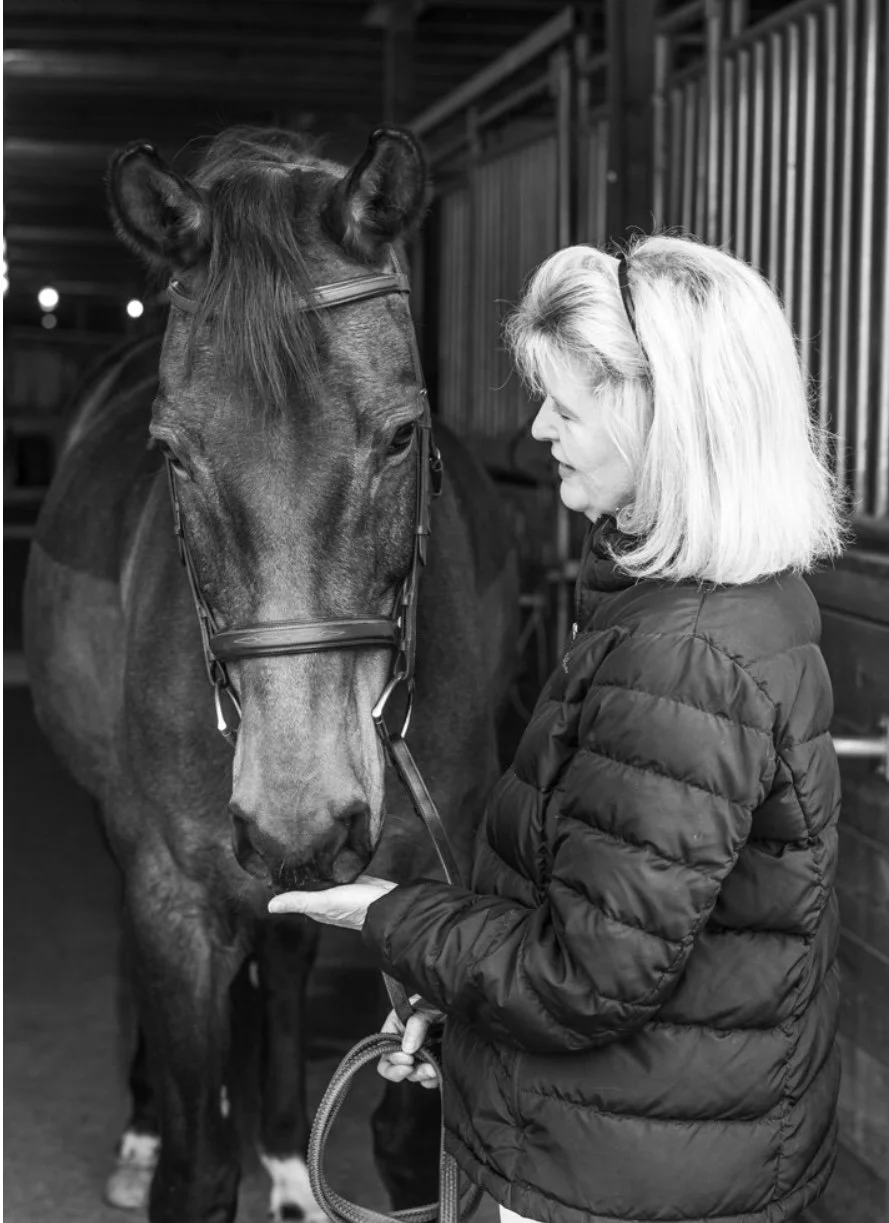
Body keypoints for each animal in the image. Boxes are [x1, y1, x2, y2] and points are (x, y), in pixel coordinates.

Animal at [23, 125, 519, 1223]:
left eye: (403, 433)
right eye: (170, 452)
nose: (301, 816)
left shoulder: (428, 888)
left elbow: (408, 1146)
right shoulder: (173, 896)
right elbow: (198, 1171)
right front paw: (174, 1132)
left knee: (287, 958)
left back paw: (290, 1154)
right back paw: (145, 1123)